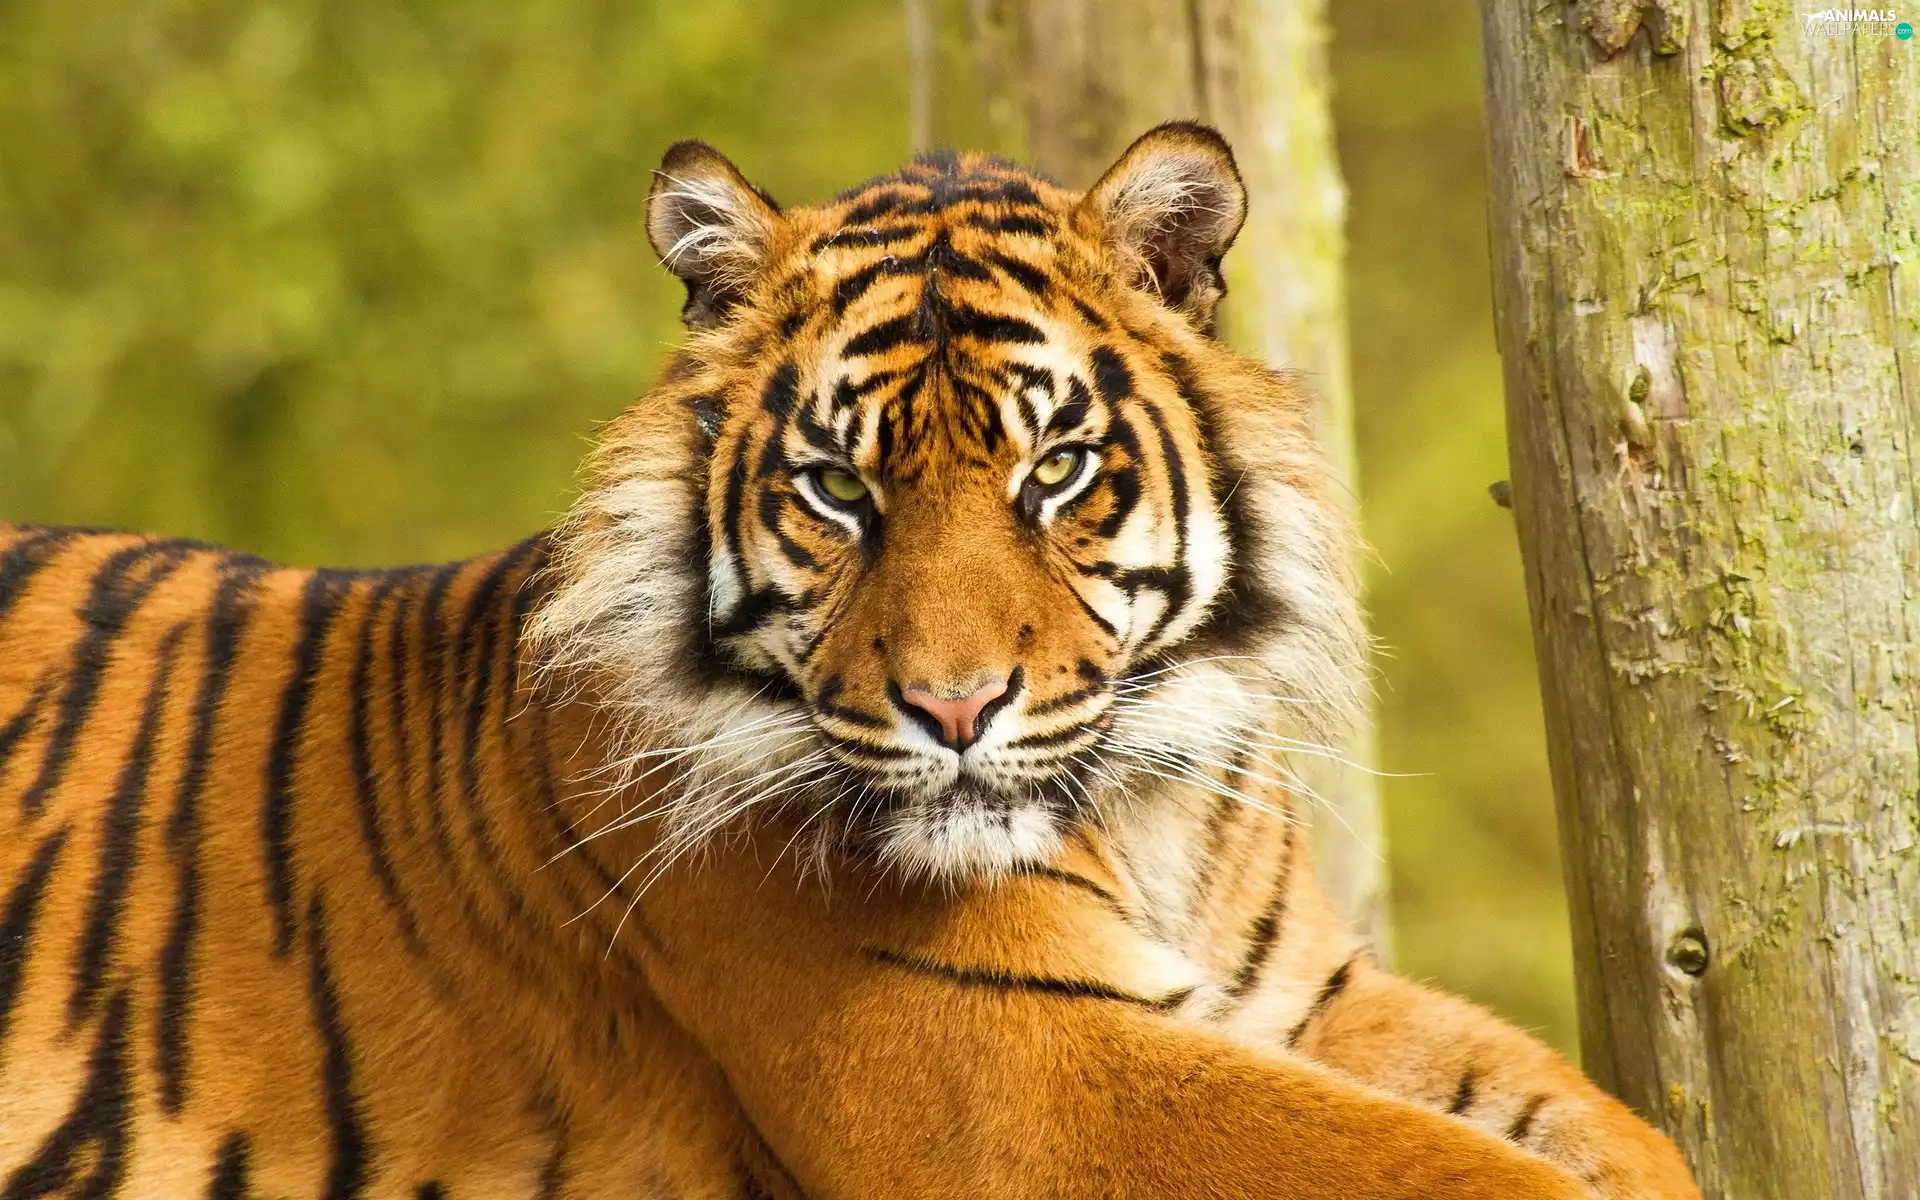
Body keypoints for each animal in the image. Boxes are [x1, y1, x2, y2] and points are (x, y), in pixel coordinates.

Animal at [0, 122, 1699, 1199]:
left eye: (1054, 471)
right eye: (836, 489)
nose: (954, 709)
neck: (1149, 806)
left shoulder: (1299, 998)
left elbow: (1603, 1133)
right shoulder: (1031, 1076)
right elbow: (1483, 1175)